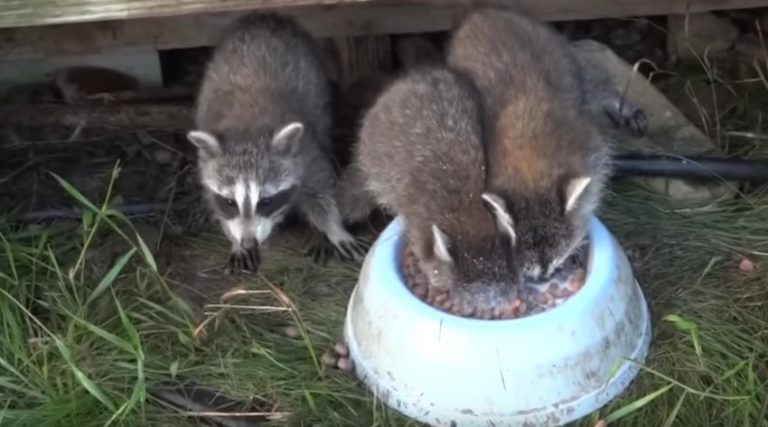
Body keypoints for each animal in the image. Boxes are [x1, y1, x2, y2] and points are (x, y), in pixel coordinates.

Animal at [188, 13, 368, 272]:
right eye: (230, 202)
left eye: (266, 201)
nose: (249, 242)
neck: (247, 131)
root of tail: (264, 18)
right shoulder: (207, 171)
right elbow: (216, 204)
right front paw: (234, 240)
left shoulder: (306, 153)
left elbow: (321, 192)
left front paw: (335, 230)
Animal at [446, 9, 646, 281]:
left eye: (556, 247)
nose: (541, 277)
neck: (532, 167)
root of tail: (483, 12)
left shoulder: (589, 148)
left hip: (560, 52)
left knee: (592, 84)